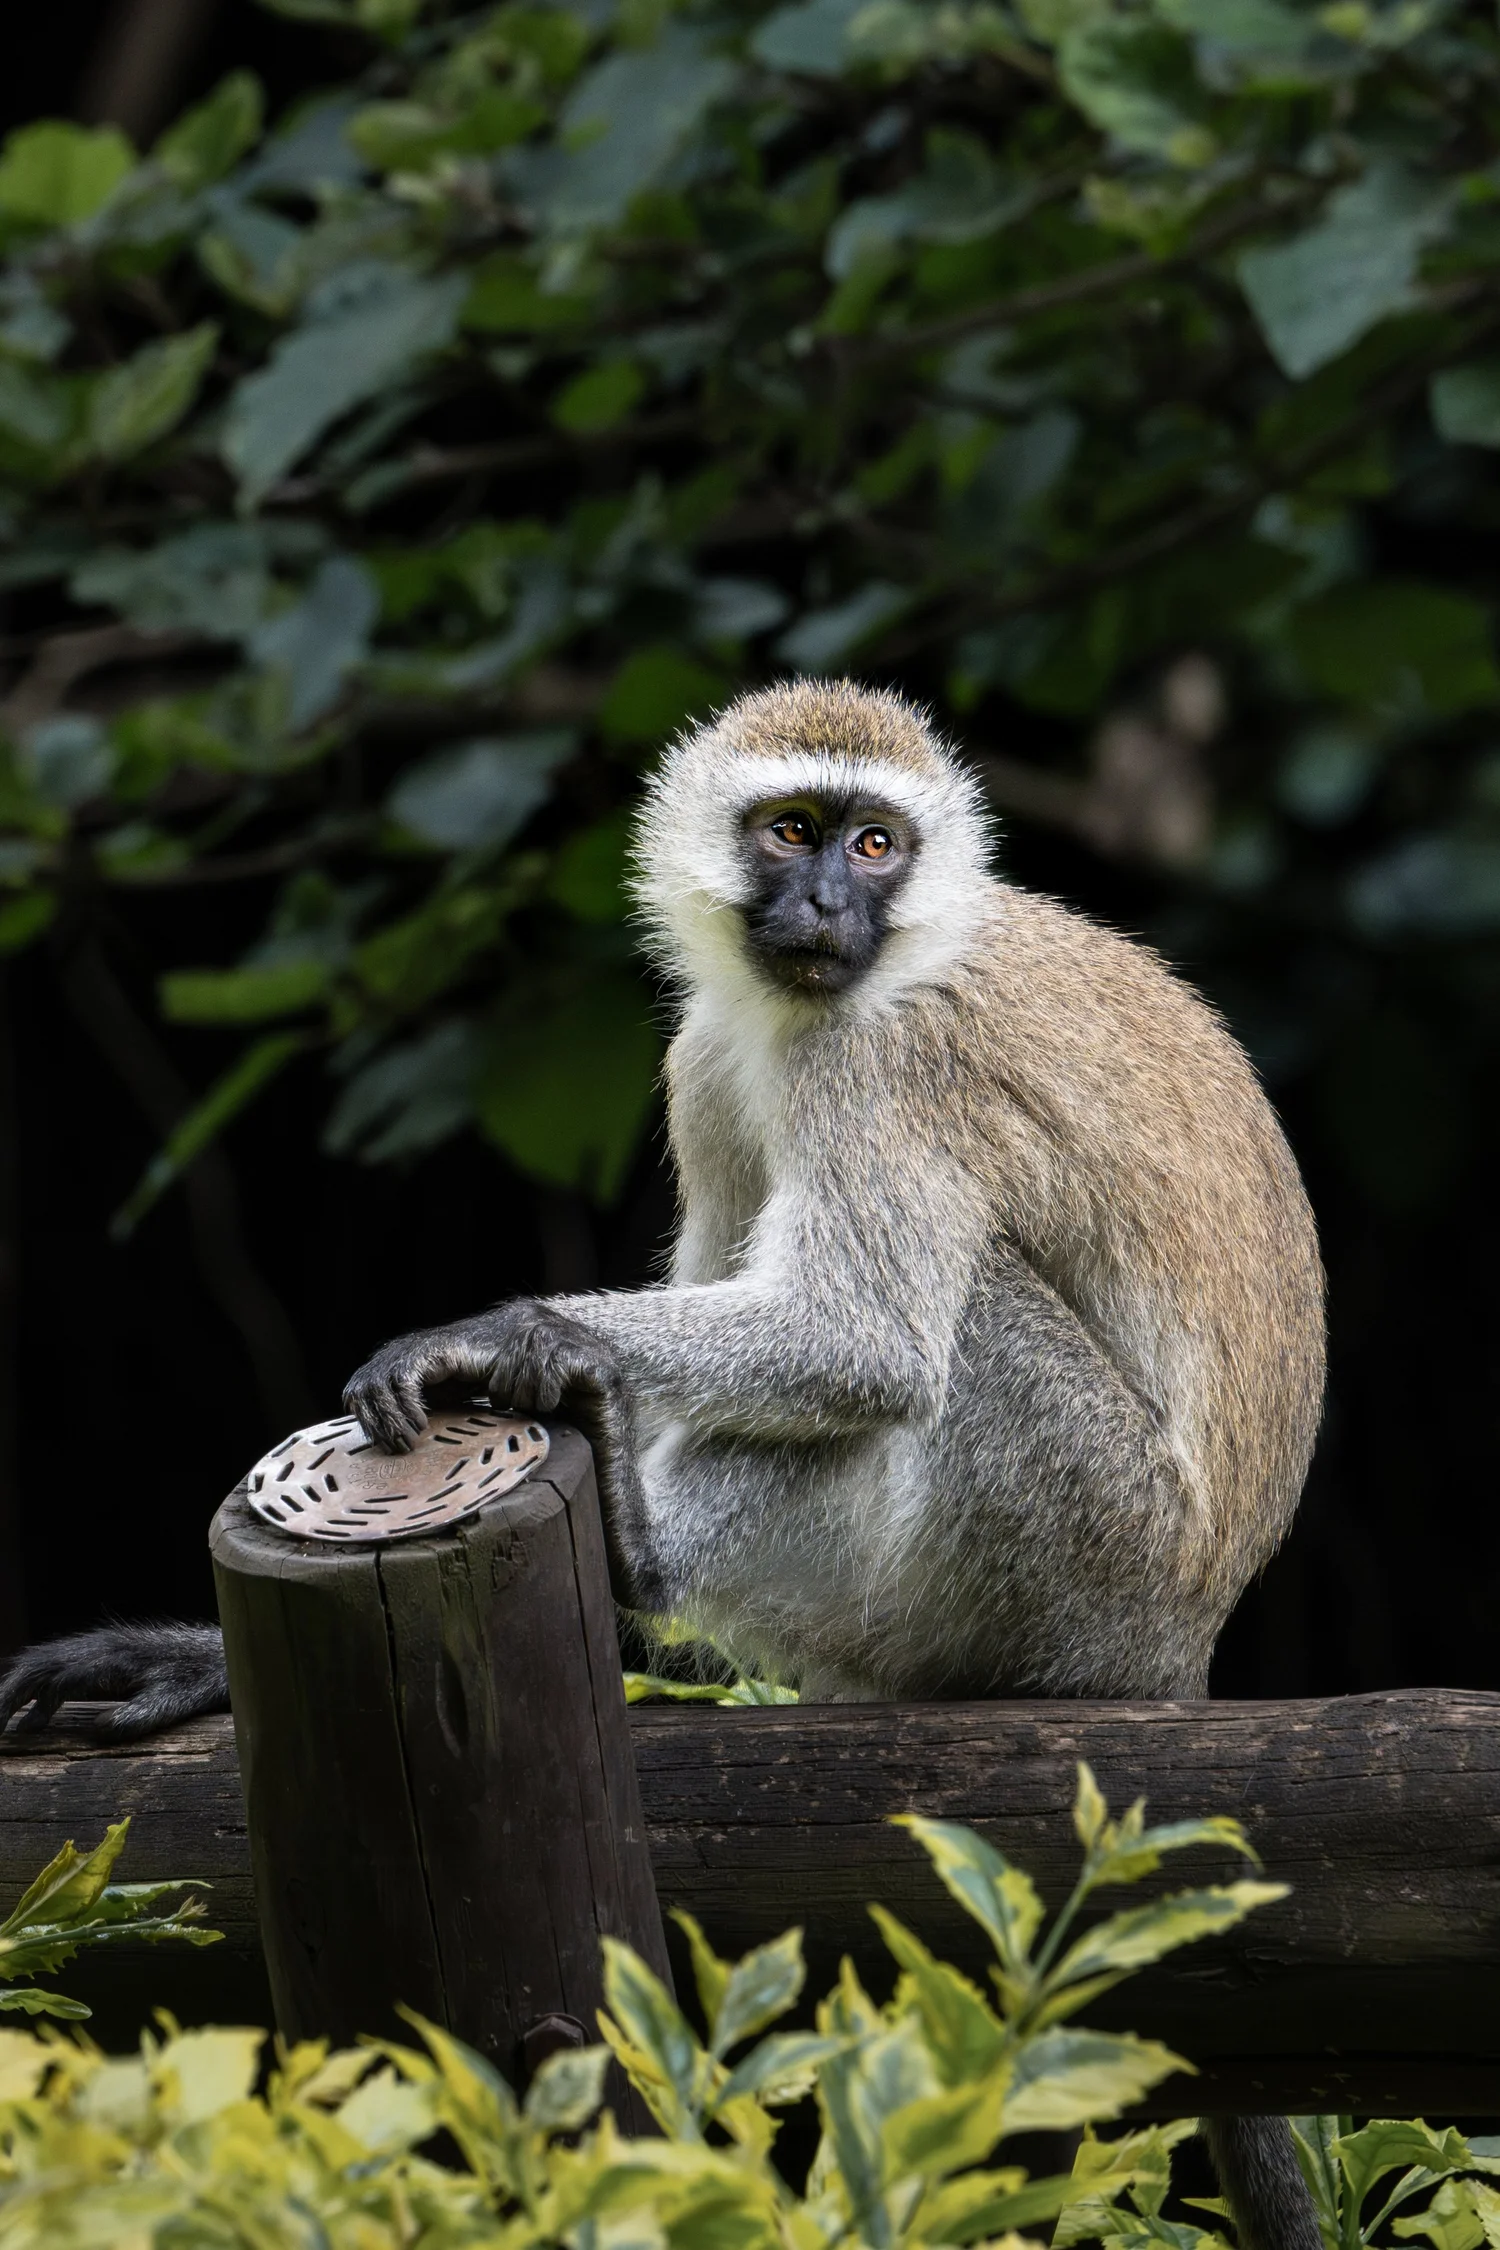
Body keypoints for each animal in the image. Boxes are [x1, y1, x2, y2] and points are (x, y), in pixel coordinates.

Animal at [0, 680, 1325, 2249]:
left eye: (878, 842)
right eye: (795, 830)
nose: (826, 900)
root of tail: (1185, 1638)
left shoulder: (887, 1065)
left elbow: (865, 1342)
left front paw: (511, 1336)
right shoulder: (705, 1054)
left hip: (1081, 1553)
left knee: (962, 1335)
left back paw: (638, 1557)